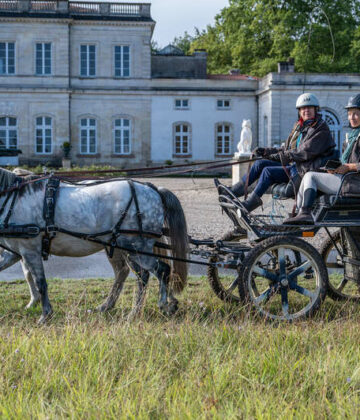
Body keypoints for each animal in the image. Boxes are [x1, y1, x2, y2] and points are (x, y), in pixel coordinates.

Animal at [0, 167, 188, 322]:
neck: (13, 198)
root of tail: (153, 189)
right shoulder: (16, 252)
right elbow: (27, 275)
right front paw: (34, 304)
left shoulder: (30, 249)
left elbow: (40, 282)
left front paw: (45, 314)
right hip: (121, 247)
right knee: (130, 274)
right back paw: (111, 307)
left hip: (135, 248)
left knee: (158, 271)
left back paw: (155, 307)